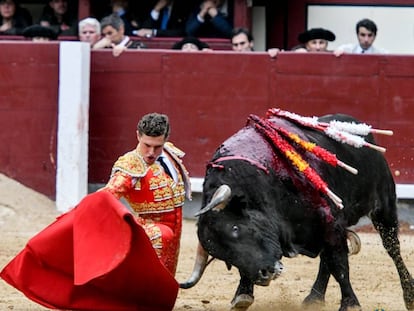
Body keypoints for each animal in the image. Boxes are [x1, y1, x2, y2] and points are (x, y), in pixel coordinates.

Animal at [180, 111, 414, 311]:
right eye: (224, 257)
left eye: (235, 229)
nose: (264, 275)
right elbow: (331, 260)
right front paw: (243, 294)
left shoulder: (330, 221)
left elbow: (340, 264)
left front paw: (350, 304)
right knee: (326, 259)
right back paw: (314, 298)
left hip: (383, 206)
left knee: (392, 248)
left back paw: (409, 295)